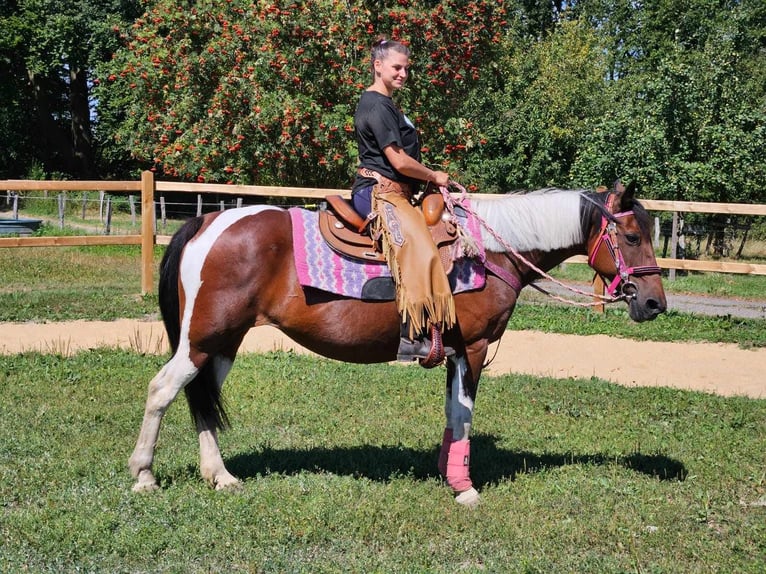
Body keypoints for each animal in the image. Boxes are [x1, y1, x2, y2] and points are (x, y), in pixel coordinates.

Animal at [130, 181, 664, 508]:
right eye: (631, 235)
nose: (654, 303)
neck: (488, 253)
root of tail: (207, 223)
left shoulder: (455, 352)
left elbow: (452, 413)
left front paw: (448, 471)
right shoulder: (473, 349)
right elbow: (465, 414)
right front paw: (465, 487)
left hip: (223, 343)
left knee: (200, 397)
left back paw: (219, 475)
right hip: (200, 340)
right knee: (161, 389)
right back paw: (144, 475)